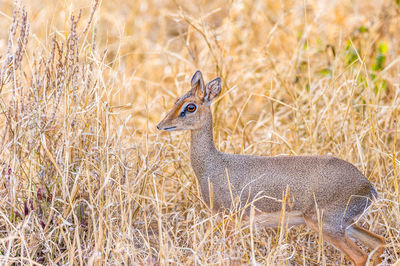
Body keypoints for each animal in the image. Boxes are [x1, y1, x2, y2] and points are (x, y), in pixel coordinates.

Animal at [155, 69, 384, 264]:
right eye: (177, 100)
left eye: (190, 107)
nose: (161, 125)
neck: (213, 164)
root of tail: (369, 187)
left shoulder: (229, 219)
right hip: (347, 225)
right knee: (378, 243)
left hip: (326, 225)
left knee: (361, 256)